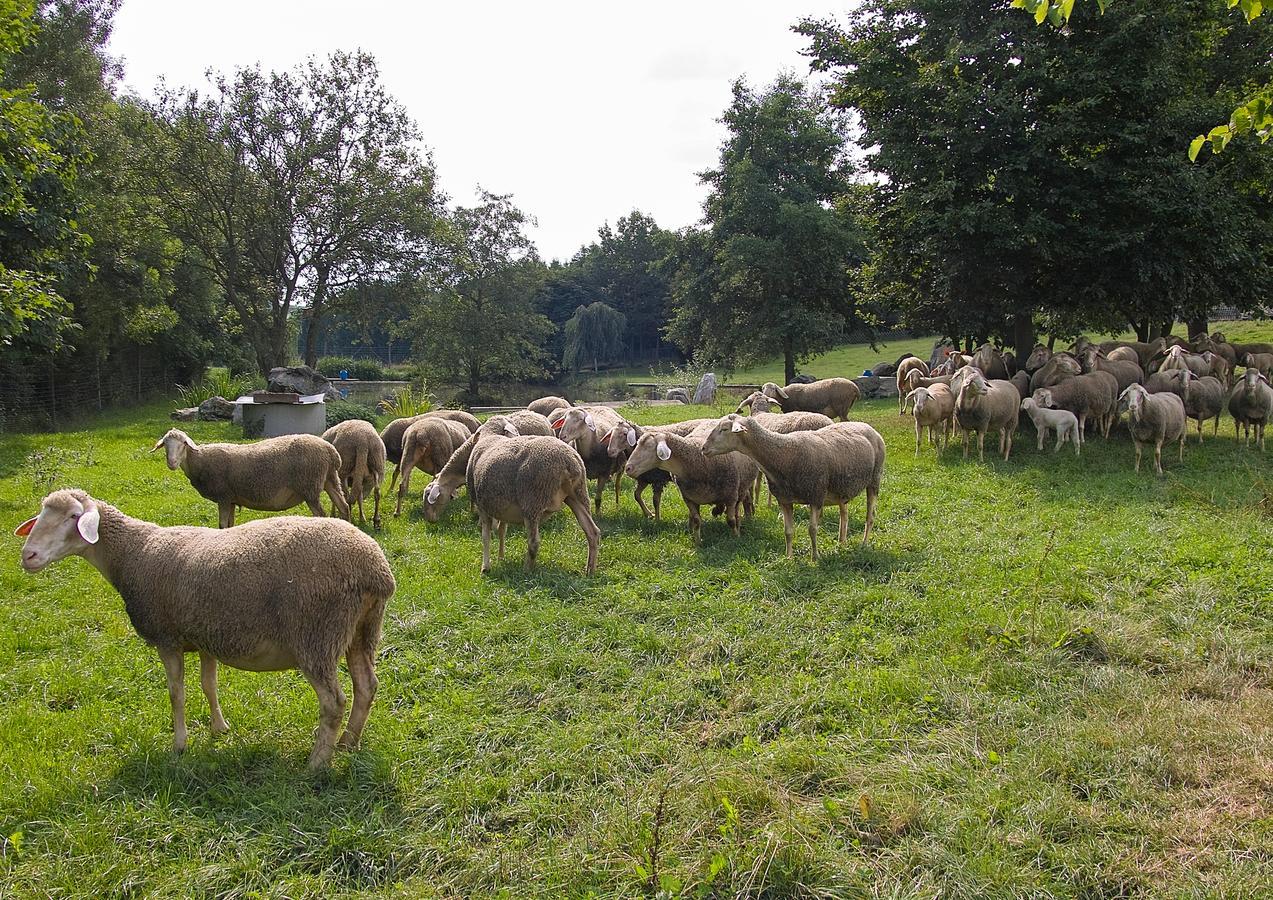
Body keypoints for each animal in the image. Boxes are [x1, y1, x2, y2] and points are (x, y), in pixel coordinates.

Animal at [14, 488, 392, 768]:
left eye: (74, 517)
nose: (27, 556)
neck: (132, 554)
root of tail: (375, 568)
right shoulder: (207, 636)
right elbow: (209, 685)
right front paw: (219, 729)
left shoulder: (167, 638)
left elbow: (176, 693)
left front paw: (179, 745)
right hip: (362, 630)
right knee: (366, 687)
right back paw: (348, 744)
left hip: (317, 635)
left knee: (334, 702)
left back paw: (316, 763)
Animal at [152, 430, 348, 527]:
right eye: (165, 444)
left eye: (184, 444)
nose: (172, 463)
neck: (200, 461)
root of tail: (331, 451)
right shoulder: (231, 499)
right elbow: (230, 524)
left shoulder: (223, 496)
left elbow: (222, 524)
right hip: (330, 480)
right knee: (343, 506)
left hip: (310, 487)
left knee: (322, 515)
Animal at [422, 432, 595, 572]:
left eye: (429, 497)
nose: (429, 520)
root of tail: (568, 462)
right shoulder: (501, 505)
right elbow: (502, 531)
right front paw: (501, 557)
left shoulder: (482, 504)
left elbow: (485, 536)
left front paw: (486, 567)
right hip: (578, 494)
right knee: (593, 532)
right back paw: (590, 570)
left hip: (532, 501)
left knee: (534, 542)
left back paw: (526, 570)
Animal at [623, 430, 753, 542]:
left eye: (649, 447)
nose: (627, 468)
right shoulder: (689, 498)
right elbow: (696, 520)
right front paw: (698, 541)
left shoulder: (731, 496)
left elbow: (730, 520)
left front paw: (736, 537)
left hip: (740, 489)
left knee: (737, 509)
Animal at [697, 414, 886, 562]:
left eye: (724, 429)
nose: (703, 448)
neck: (783, 456)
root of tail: (866, 426)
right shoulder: (784, 500)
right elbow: (788, 531)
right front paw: (789, 557)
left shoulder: (816, 496)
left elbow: (812, 529)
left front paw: (815, 557)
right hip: (841, 488)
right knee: (844, 515)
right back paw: (842, 541)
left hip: (874, 479)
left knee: (870, 516)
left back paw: (864, 543)